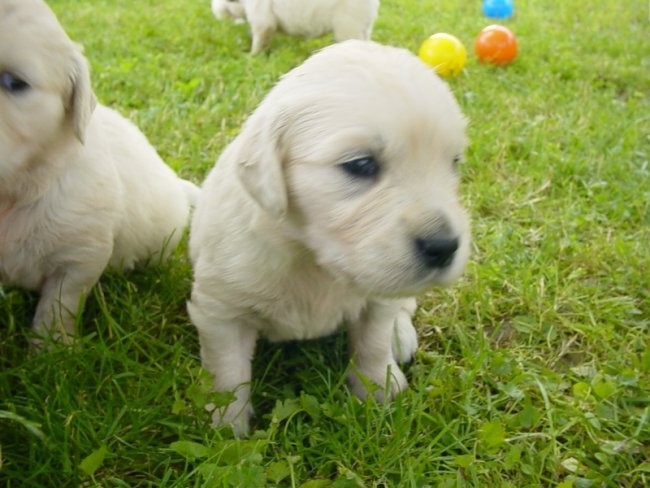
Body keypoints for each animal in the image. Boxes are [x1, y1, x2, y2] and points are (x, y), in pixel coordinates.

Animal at [189, 39, 470, 434]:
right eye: (361, 164)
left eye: (454, 163)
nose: (444, 246)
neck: (312, 259)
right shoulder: (220, 310)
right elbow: (227, 372)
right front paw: (226, 427)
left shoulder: (375, 299)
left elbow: (373, 342)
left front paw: (378, 390)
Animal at [210, 0, 378, 54]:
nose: (216, 11)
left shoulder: (262, 20)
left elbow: (259, 39)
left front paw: (252, 56)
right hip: (364, 28)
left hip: (348, 28)